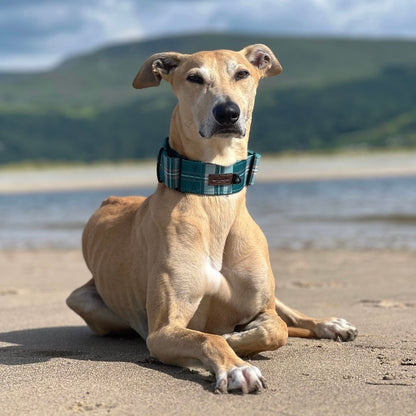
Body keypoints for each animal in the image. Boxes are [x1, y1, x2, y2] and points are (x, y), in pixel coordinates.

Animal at [68, 44, 358, 394]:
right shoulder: (163, 331)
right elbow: (209, 338)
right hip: (88, 303)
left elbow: (276, 329)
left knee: (290, 316)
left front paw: (239, 336)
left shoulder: (261, 306)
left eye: (242, 73)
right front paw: (237, 366)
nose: (227, 113)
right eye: (194, 78)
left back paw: (330, 323)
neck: (214, 199)